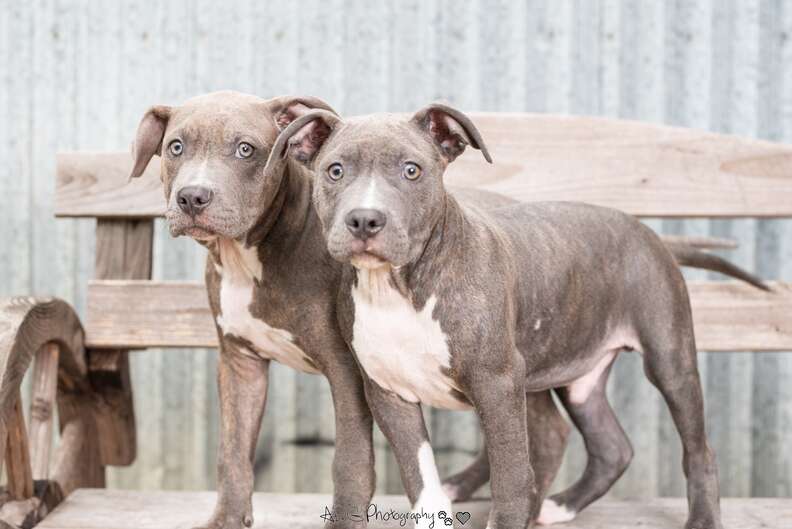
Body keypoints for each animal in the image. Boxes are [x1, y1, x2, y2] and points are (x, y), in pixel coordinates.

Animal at [125, 93, 576, 528]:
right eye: (176, 147)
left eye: (245, 149)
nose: (192, 196)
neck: (249, 258)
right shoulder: (240, 363)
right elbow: (232, 451)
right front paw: (227, 520)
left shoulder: (345, 369)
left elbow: (351, 459)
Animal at [272, 104, 768, 528]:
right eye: (335, 170)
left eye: (412, 170)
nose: (364, 220)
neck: (401, 287)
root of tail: (650, 233)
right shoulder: (389, 391)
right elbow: (422, 480)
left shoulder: (496, 381)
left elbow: (511, 477)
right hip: (574, 372)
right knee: (608, 445)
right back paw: (560, 504)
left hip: (668, 357)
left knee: (697, 449)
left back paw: (700, 519)